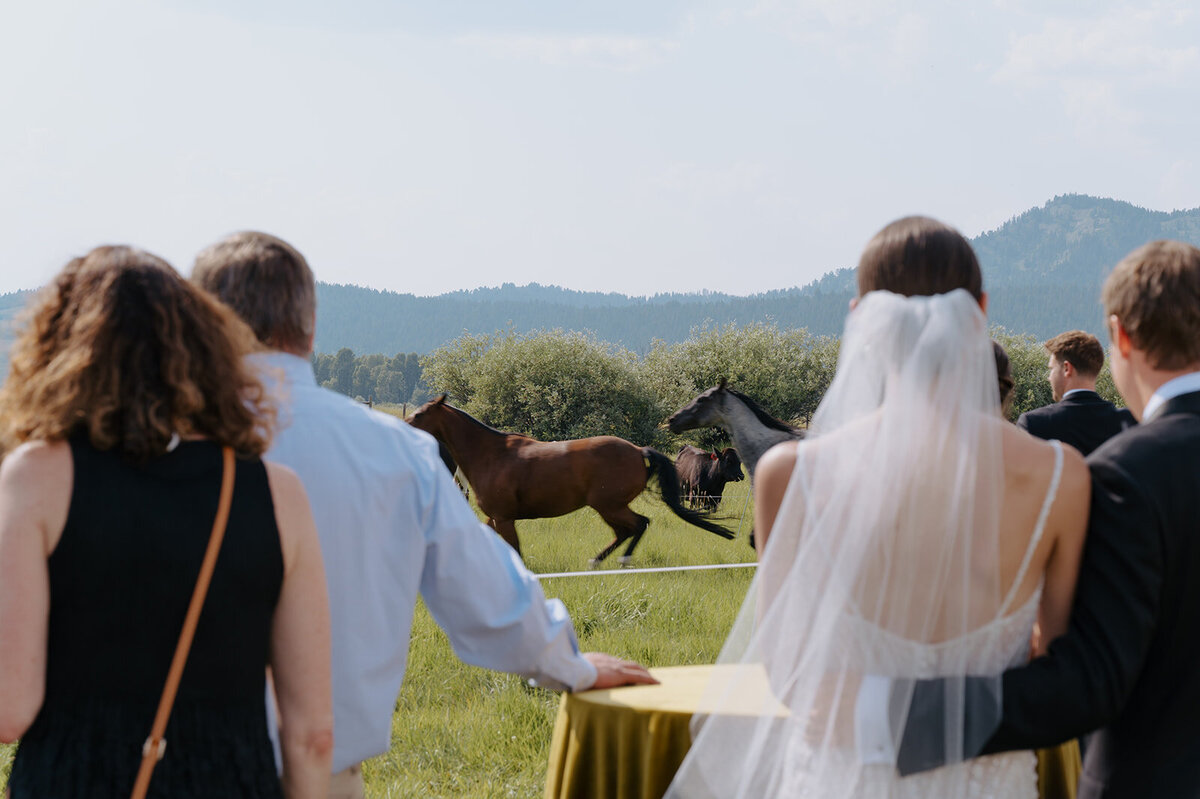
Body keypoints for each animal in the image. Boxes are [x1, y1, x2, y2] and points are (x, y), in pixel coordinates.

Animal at [408, 395, 734, 563]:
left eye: (419, 415)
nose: (404, 428)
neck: (491, 454)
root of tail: (637, 451)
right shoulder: (495, 518)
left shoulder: (505, 518)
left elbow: (516, 552)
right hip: (608, 507)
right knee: (626, 530)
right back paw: (598, 561)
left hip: (609, 505)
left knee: (638, 525)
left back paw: (619, 561)